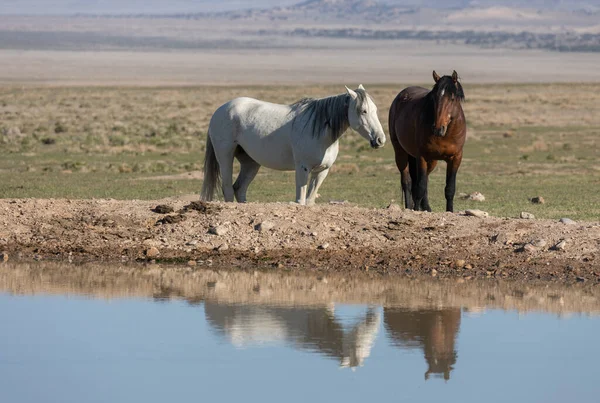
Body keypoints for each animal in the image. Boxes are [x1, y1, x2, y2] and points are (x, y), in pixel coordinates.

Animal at [200, 85, 384, 205]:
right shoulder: (303, 169)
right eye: (363, 111)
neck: (320, 130)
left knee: (239, 189)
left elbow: (309, 201)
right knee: (228, 189)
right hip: (225, 156)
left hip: (250, 162)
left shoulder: (322, 171)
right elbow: (300, 200)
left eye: (375, 110)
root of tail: (219, 110)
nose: (380, 139)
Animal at [386, 70, 466, 213]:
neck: (446, 134)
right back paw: (409, 207)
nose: (438, 128)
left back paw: (427, 208)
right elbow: (420, 187)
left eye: (452, 98)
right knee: (407, 182)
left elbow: (450, 188)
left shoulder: (456, 158)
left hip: (431, 161)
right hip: (401, 153)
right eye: (434, 98)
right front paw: (416, 210)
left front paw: (449, 211)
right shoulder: (422, 157)